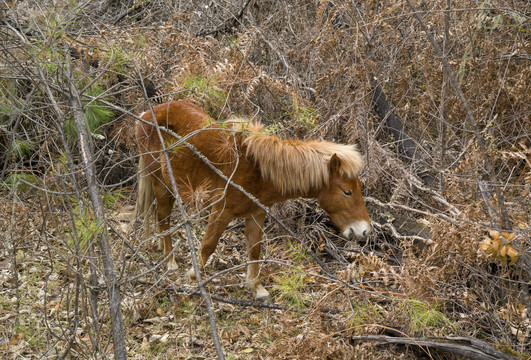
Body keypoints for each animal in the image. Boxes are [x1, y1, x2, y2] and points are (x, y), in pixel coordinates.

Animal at [135, 101, 372, 300]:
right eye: (347, 192)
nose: (366, 231)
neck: (257, 169)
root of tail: (147, 113)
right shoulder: (221, 212)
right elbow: (208, 245)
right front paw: (194, 277)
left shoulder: (256, 215)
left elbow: (255, 249)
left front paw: (256, 288)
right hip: (160, 184)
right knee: (163, 217)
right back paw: (170, 261)